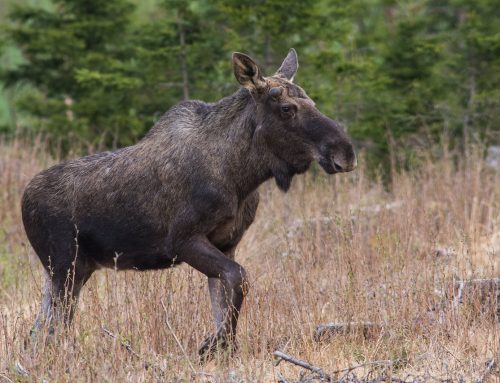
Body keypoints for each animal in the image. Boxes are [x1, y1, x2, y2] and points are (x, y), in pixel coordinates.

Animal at [20, 48, 356, 360]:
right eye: (287, 108)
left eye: (313, 102)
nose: (345, 152)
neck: (242, 175)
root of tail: (23, 200)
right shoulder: (182, 240)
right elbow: (239, 278)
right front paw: (212, 344)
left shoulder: (227, 243)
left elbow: (224, 296)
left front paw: (224, 349)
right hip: (65, 265)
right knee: (55, 327)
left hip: (68, 269)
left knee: (38, 330)